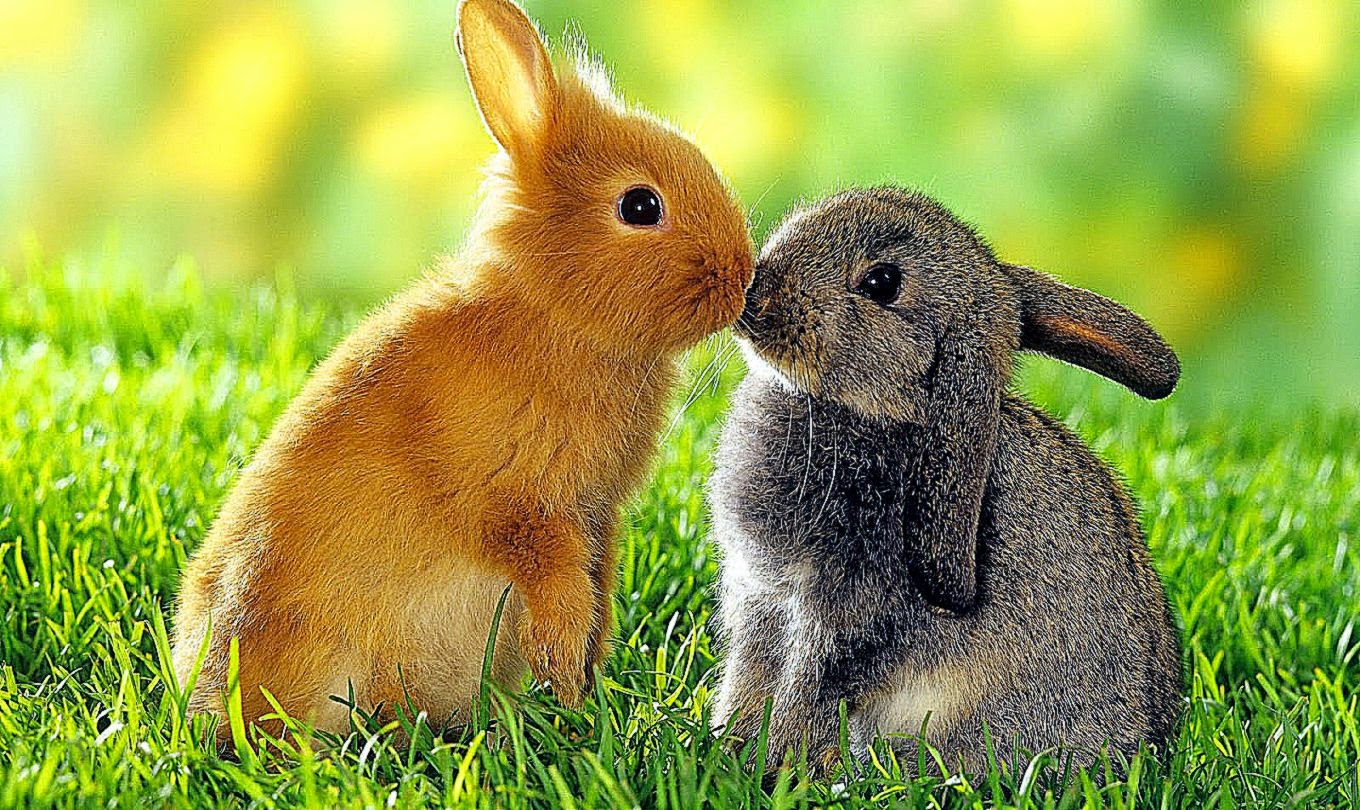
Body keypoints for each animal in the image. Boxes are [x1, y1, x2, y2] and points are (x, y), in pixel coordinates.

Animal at [172, 0, 754, 746]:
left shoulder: (598, 519)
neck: (553, 314)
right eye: (640, 206)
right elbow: (557, 592)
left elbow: (597, 597)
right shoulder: (523, 509)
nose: (742, 276)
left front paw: (585, 692)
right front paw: (567, 685)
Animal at [708, 186, 1183, 775]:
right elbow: (748, 679)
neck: (888, 413)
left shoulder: (848, 609)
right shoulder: (759, 599)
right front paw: (724, 747)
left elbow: (808, 689)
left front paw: (773, 765)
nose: (755, 295)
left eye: (882, 283)